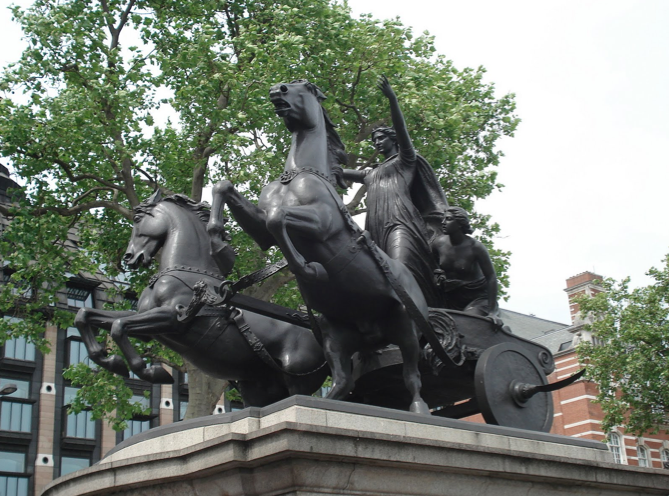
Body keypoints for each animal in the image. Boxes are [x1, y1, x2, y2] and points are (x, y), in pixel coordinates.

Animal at [209, 81, 434, 414]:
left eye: (303, 86)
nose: (277, 89)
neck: (298, 174)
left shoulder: (322, 222)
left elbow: (278, 219)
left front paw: (310, 269)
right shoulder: (262, 230)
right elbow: (225, 188)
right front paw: (220, 247)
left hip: (406, 326)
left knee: (412, 376)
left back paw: (419, 409)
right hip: (334, 335)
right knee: (343, 382)